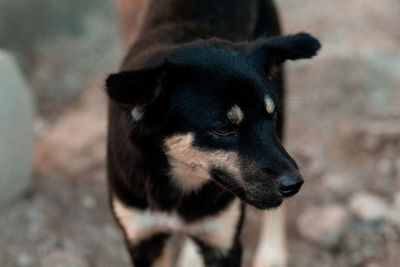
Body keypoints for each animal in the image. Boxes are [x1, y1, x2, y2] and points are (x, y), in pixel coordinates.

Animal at [104, 1, 320, 266]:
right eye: (223, 128)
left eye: (272, 115)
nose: (294, 184)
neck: (179, 181)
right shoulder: (142, 239)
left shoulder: (224, 242)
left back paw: (272, 254)